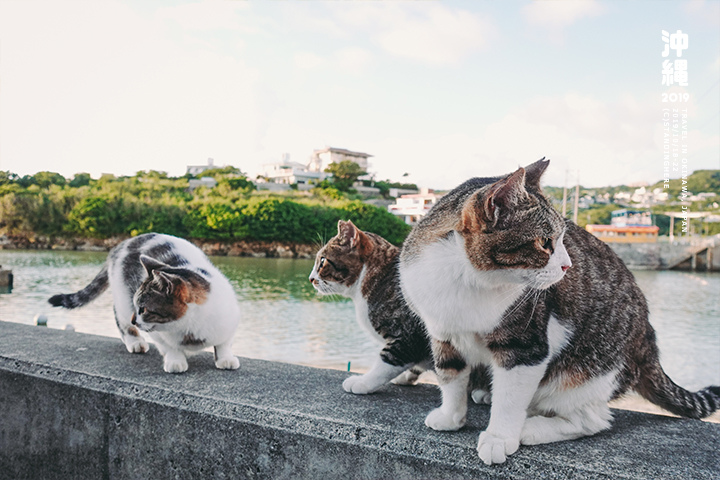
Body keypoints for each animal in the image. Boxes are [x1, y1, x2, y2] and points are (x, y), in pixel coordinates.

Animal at [47, 234, 240, 374]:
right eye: (137, 306)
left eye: (144, 309)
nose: (135, 319)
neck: (189, 327)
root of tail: (121, 244)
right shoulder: (157, 334)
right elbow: (169, 346)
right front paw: (176, 360)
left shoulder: (230, 321)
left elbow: (224, 343)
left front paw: (225, 358)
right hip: (123, 299)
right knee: (119, 316)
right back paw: (134, 341)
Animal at [400, 158, 720, 464]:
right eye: (545, 242)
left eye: (565, 239)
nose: (567, 266)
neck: (466, 280)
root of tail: (647, 337)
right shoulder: (443, 333)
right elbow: (450, 375)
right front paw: (451, 417)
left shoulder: (526, 346)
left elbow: (510, 398)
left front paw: (499, 437)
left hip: (585, 374)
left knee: (593, 419)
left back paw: (530, 428)